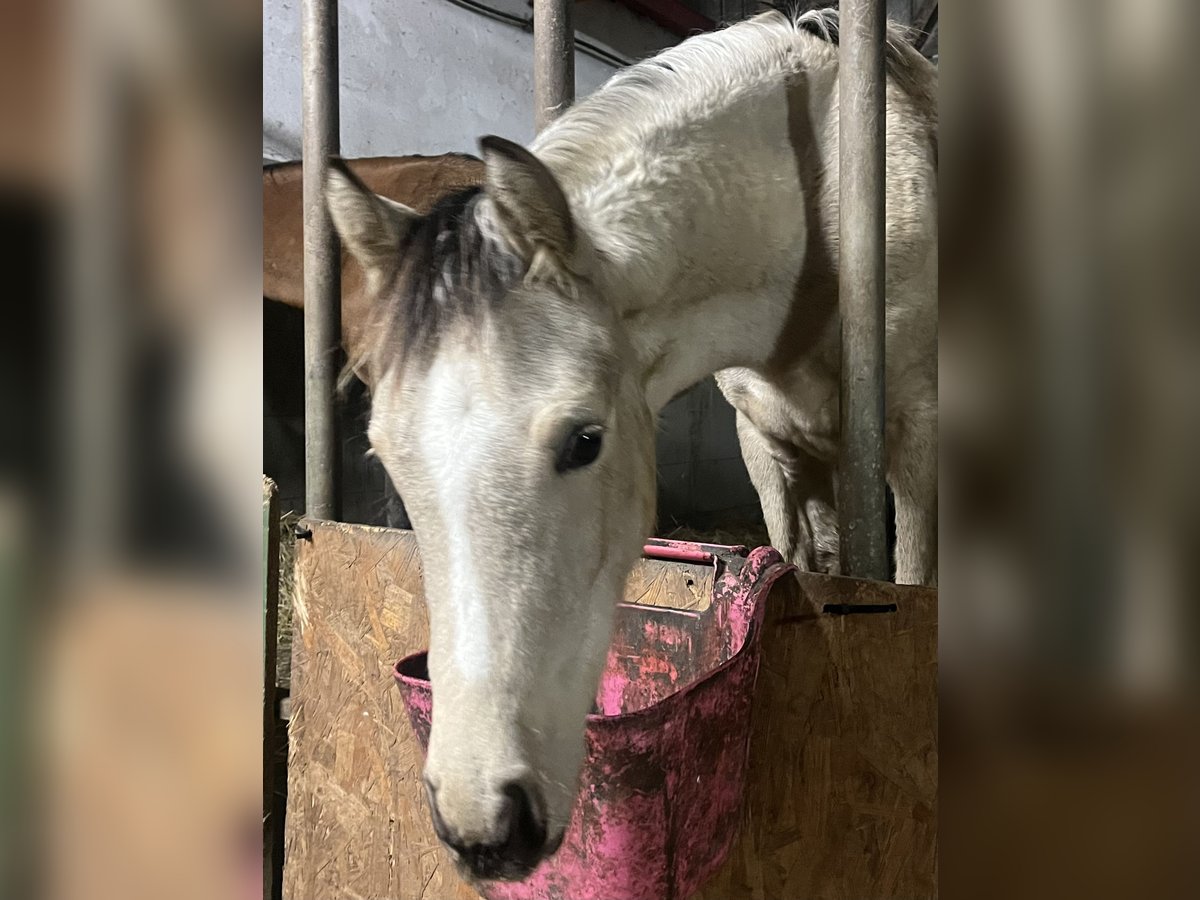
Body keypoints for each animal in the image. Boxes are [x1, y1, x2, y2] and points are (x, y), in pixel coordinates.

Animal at [324, 5, 931, 883]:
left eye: (586, 441)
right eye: (389, 458)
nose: (484, 824)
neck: (818, 198)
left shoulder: (912, 441)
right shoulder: (773, 448)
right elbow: (806, 559)